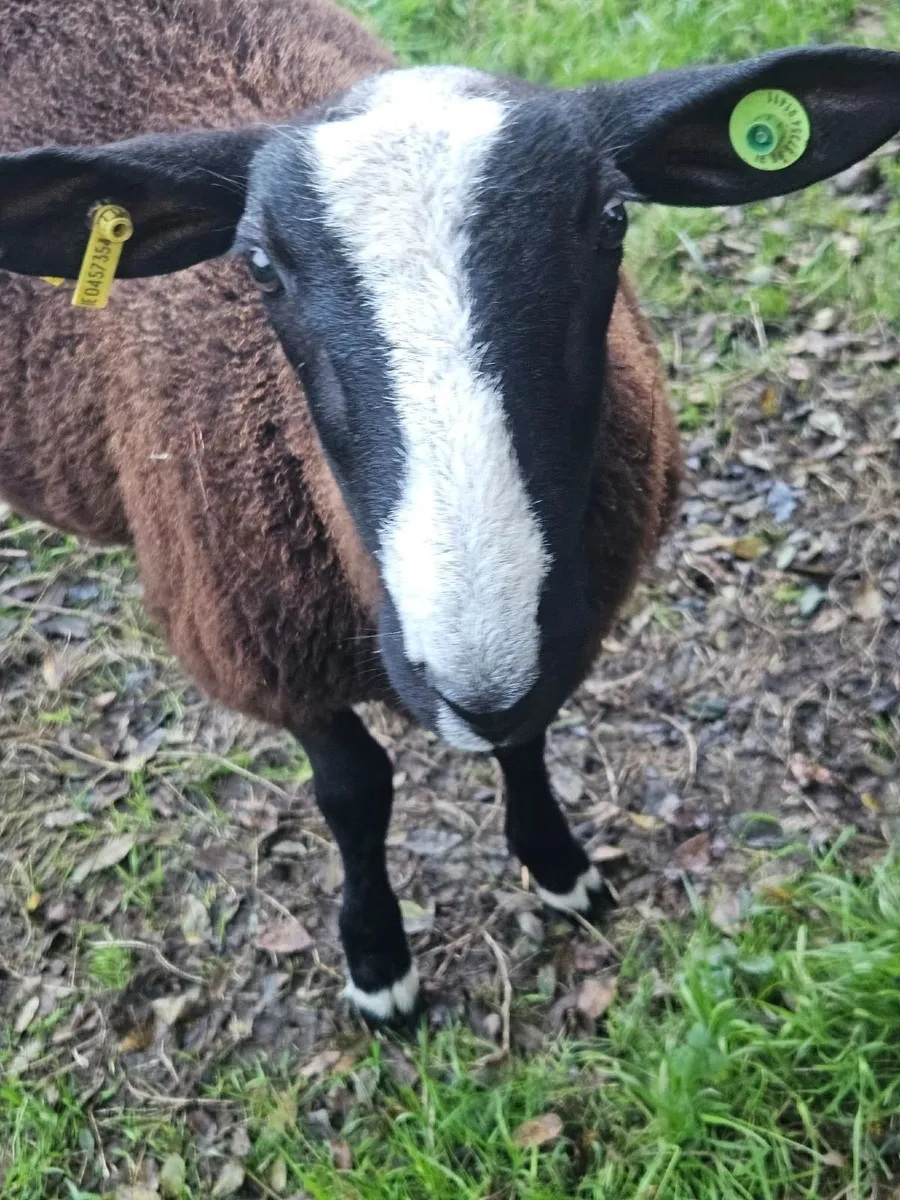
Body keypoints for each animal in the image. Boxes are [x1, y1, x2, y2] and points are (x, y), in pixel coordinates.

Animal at [1, 0, 899, 1024]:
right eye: (258, 266)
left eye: (612, 219)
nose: (481, 675)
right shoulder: (269, 649)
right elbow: (354, 791)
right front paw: (378, 961)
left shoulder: (553, 639)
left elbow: (531, 734)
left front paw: (559, 867)